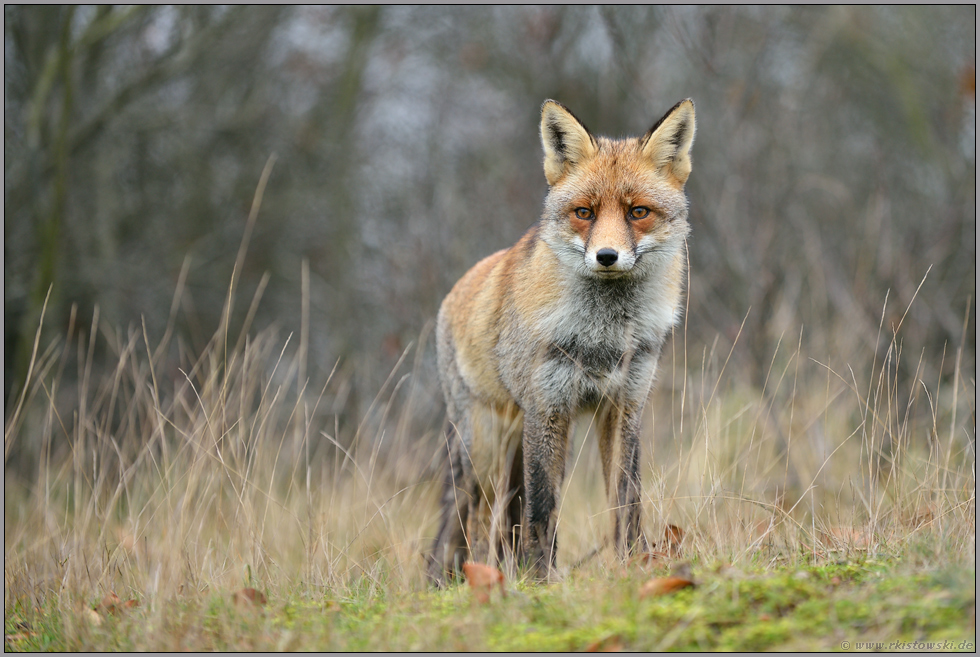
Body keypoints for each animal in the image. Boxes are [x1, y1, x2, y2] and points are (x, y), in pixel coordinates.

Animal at [430, 96, 696, 580]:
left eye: (638, 212)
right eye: (584, 213)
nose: (607, 256)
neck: (603, 338)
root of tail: (452, 295)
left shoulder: (623, 406)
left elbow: (627, 502)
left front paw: (633, 565)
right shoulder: (548, 407)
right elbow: (542, 509)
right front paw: (542, 581)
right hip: (485, 449)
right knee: (476, 523)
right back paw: (478, 576)